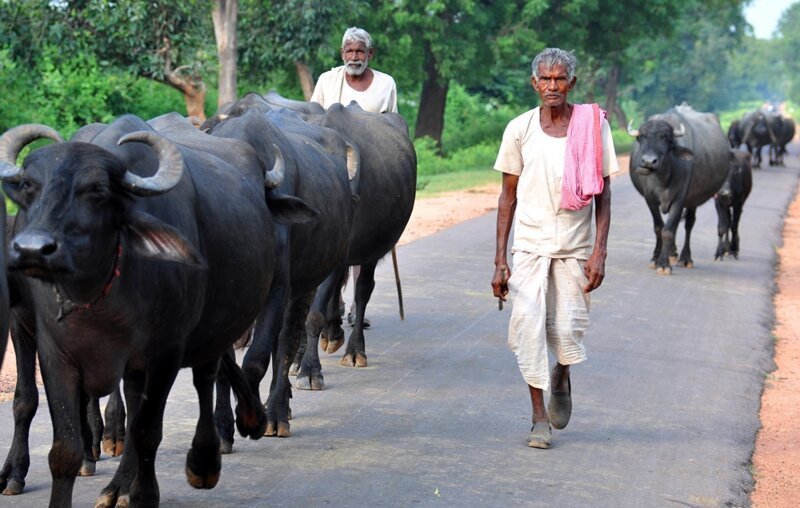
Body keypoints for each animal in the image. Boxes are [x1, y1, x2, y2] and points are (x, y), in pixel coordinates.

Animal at [0, 116, 314, 508]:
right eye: (29, 186)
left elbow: (148, 429)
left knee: (204, 378)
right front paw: (20, 470)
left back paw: (209, 455)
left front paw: (144, 493)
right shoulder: (48, 346)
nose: (32, 249)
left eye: (97, 190)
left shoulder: (168, 350)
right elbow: (46, 424)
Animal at [628, 103, 736, 276]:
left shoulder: (680, 198)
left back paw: (685, 258)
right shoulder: (650, 199)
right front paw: (655, 258)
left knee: (688, 224)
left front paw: (664, 264)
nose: (649, 161)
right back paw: (672, 253)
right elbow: (659, 228)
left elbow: (668, 230)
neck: (664, 176)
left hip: (693, 200)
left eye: (665, 137)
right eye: (642, 137)